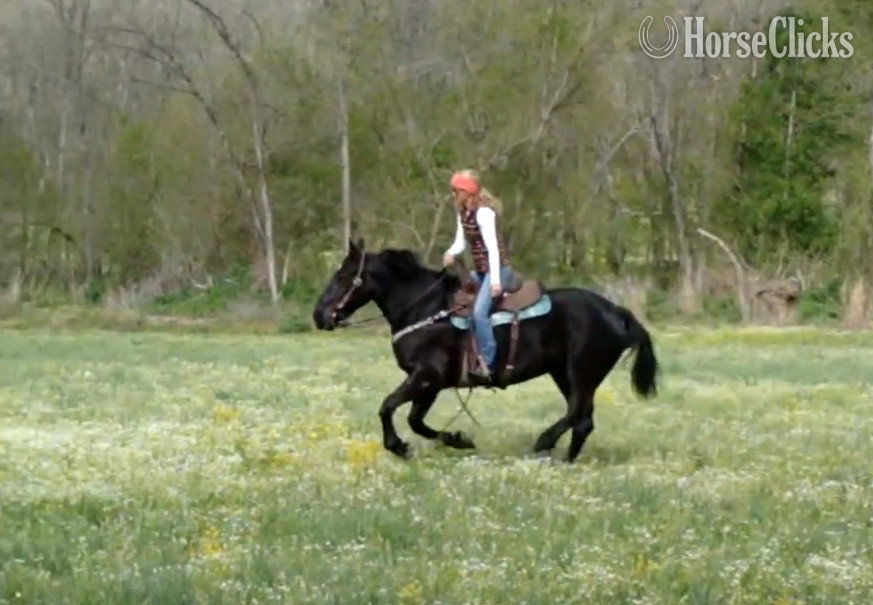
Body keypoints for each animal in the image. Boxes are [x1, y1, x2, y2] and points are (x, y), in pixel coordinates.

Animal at [311, 238, 660, 463]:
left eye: (344, 275)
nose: (319, 315)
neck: (425, 310)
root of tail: (616, 312)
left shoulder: (426, 377)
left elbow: (387, 407)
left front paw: (398, 447)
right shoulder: (430, 384)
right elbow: (415, 420)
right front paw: (459, 440)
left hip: (581, 373)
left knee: (576, 414)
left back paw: (543, 444)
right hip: (564, 373)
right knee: (583, 420)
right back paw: (565, 460)